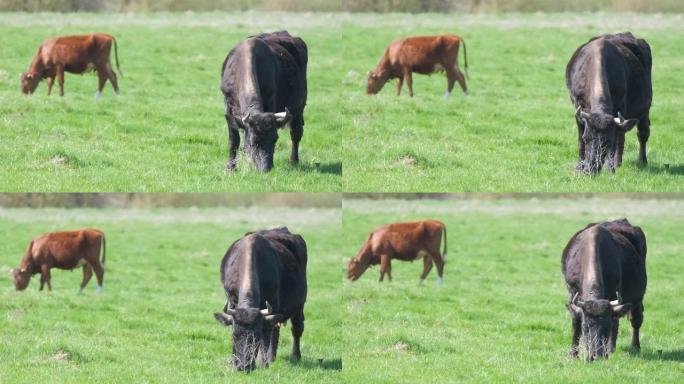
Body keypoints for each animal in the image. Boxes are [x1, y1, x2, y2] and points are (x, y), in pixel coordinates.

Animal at [214, 226, 308, 370]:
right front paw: (233, 362)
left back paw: (294, 356)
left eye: (256, 337)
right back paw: (272, 357)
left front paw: (264, 364)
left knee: (295, 328)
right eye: (234, 335)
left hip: (299, 305)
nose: (244, 366)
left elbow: (267, 335)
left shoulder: (273, 301)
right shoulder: (232, 300)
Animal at [222, 31, 308, 172]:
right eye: (252, 142)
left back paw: (294, 161)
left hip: (299, 107)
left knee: (296, 133)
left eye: (275, 139)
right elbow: (233, 141)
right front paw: (231, 168)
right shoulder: (229, 111)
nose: (266, 168)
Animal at [560, 218, 648, 362]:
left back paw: (633, 347)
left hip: (638, 298)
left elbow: (615, 323)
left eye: (607, 326)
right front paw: (573, 354)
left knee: (635, 320)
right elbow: (575, 322)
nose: (597, 355)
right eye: (586, 327)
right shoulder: (572, 292)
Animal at [564, 33, 656, 174]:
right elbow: (580, 140)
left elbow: (617, 141)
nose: (591, 168)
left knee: (641, 134)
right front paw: (580, 166)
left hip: (645, 109)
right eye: (587, 138)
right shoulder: (578, 108)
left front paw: (610, 168)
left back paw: (639, 161)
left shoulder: (620, 108)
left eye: (607, 142)